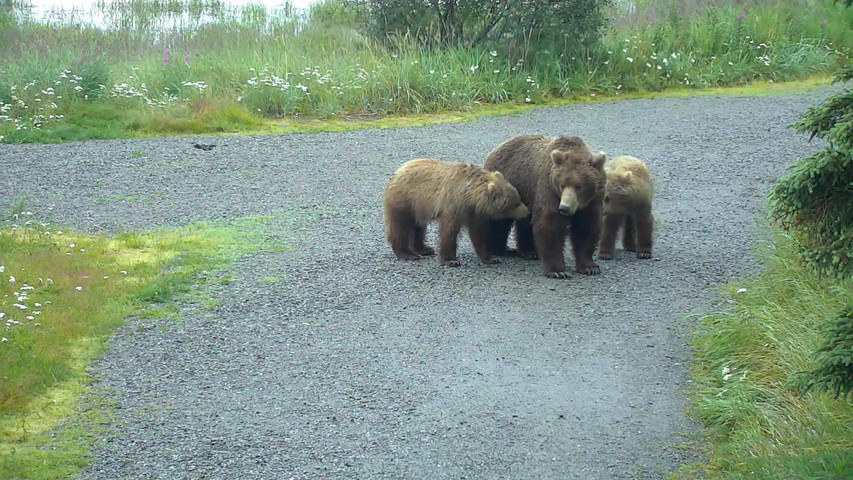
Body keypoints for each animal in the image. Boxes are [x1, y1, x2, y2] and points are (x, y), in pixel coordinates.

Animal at [480, 134, 604, 278]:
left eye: (579, 186)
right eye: (562, 185)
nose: (564, 208)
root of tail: (496, 149)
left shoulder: (593, 200)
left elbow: (586, 227)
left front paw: (590, 267)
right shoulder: (549, 189)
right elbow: (550, 224)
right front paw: (558, 271)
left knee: (526, 221)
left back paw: (529, 251)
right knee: (498, 220)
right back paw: (496, 248)